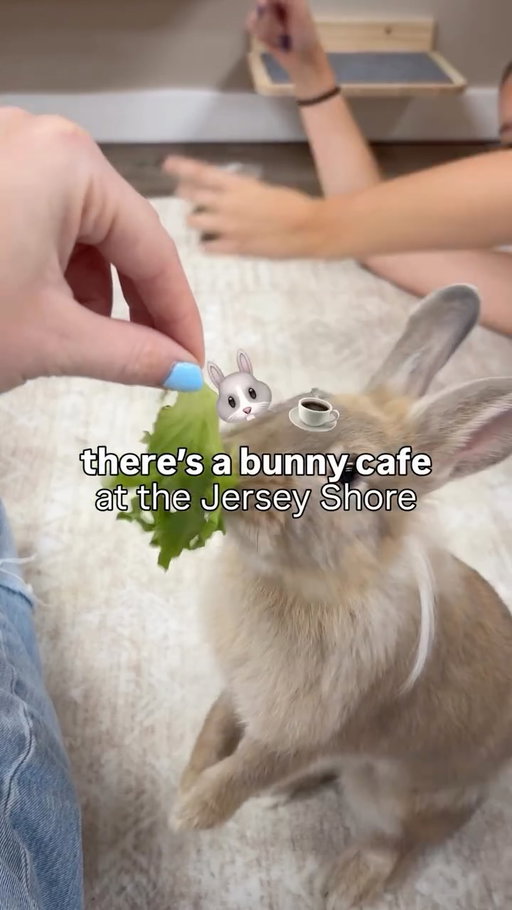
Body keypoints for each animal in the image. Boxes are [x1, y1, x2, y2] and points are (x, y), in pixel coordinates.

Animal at [173, 285, 512, 909]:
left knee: (399, 842)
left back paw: (346, 884)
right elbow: (215, 728)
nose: (227, 471)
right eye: (297, 402)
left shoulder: (306, 727)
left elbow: (247, 769)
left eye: (350, 476)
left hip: (396, 796)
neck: (309, 582)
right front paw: (187, 784)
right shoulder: (241, 691)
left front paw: (191, 813)